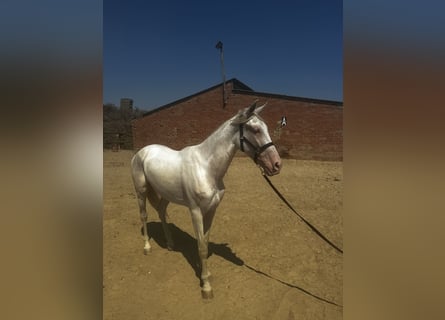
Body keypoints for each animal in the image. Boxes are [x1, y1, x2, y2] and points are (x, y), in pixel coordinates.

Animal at [130, 100, 280, 298]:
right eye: (255, 130)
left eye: (267, 128)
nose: (276, 165)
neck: (206, 167)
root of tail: (142, 152)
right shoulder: (195, 211)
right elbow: (200, 246)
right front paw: (206, 288)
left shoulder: (211, 210)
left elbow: (206, 243)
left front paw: (206, 275)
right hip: (141, 191)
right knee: (144, 215)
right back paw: (147, 247)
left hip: (166, 193)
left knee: (161, 211)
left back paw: (170, 244)